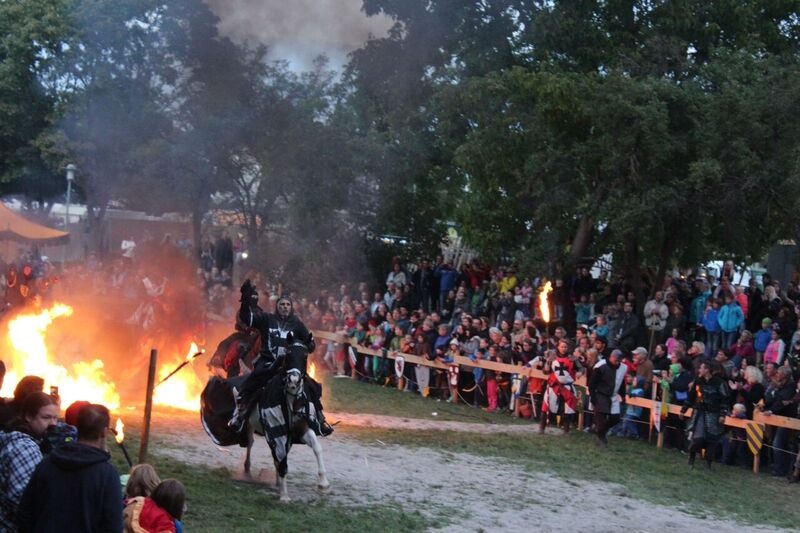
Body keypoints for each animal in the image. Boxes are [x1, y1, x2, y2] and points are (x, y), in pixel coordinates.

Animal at [245, 338, 330, 500]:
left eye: (305, 355)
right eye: (288, 353)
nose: (293, 380)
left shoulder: (301, 428)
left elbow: (317, 447)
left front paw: (323, 482)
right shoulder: (275, 431)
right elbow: (281, 458)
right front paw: (284, 496)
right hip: (251, 426)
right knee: (250, 444)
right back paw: (248, 470)